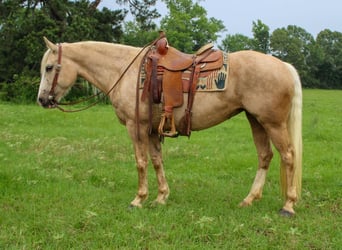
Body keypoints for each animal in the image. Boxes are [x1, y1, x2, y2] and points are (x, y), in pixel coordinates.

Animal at [37, 38, 302, 216]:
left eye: (49, 68)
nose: (41, 99)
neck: (125, 71)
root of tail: (285, 66)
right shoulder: (153, 130)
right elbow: (156, 161)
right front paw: (161, 197)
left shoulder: (136, 127)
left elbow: (141, 162)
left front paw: (138, 199)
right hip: (256, 120)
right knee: (265, 156)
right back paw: (249, 199)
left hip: (272, 123)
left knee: (288, 156)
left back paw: (288, 205)